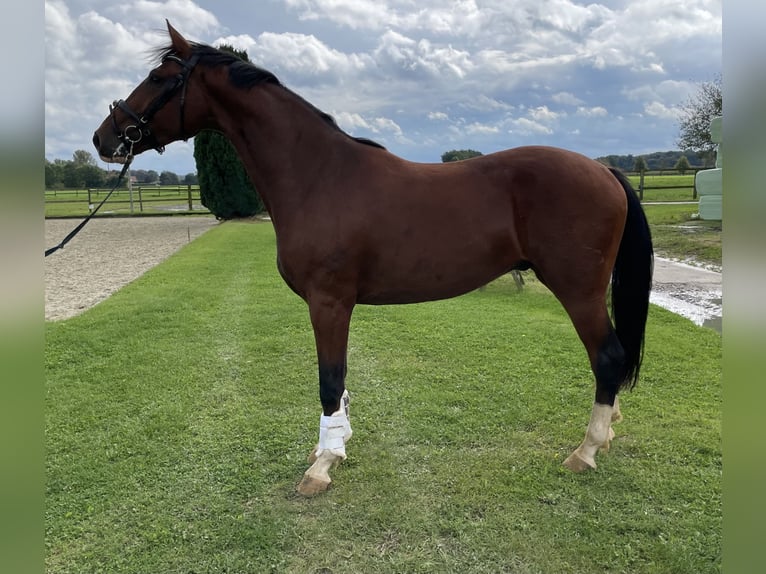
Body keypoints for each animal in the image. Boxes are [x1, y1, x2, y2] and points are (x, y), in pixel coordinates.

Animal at [91, 22, 656, 498]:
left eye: (158, 77)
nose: (105, 136)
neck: (319, 175)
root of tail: (604, 171)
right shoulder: (336, 305)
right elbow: (340, 384)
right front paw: (335, 447)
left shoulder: (328, 302)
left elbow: (329, 381)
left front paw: (321, 467)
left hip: (579, 289)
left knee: (607, 357)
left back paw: (585, 452)